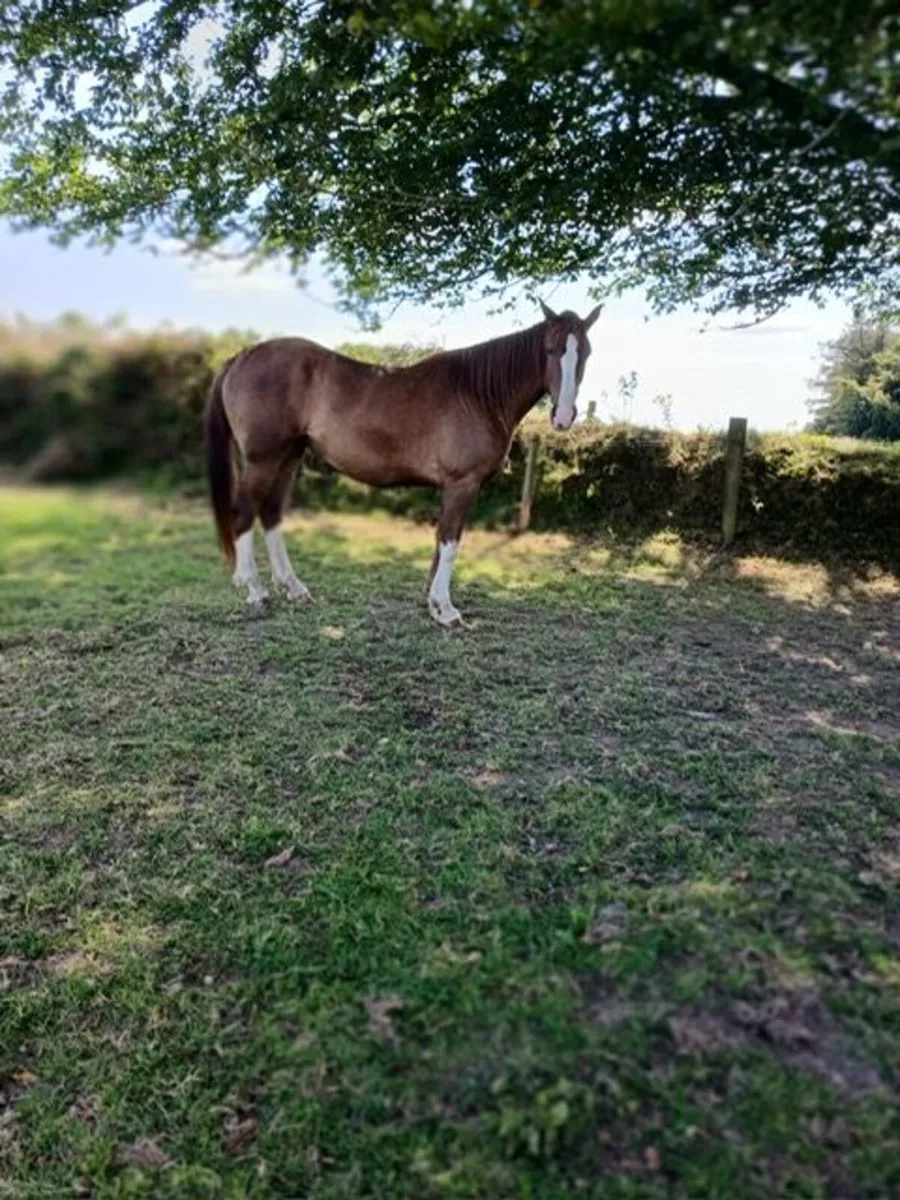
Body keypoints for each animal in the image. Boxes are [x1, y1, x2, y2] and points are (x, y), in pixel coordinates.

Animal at [204, 299, 601, 627]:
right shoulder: (463, 483)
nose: (563, 417)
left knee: (271, 514)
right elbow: (451, 542)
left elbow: (440, 541)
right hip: (263, 459)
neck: (477, 394)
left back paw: (294, 588)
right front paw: (446, 610)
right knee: (245, 514)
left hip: (289, 455)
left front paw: (432, 602)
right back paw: (255, 590)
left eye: (585, 353)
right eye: (550, 349)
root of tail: (242, 356)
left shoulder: (452, 488)